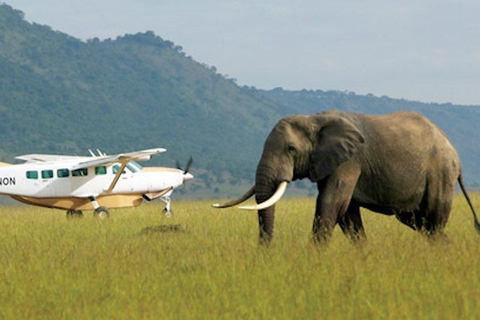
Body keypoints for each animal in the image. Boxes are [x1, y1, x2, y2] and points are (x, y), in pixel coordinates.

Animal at [214, 109, 480, 241]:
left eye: (290, 149)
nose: (266, 253)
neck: (314, 119)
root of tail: (456, 156)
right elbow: (347, 214)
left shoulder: (349, 161)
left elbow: (331, 204)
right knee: (419, 222)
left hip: (440, 173)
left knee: (433, 221)